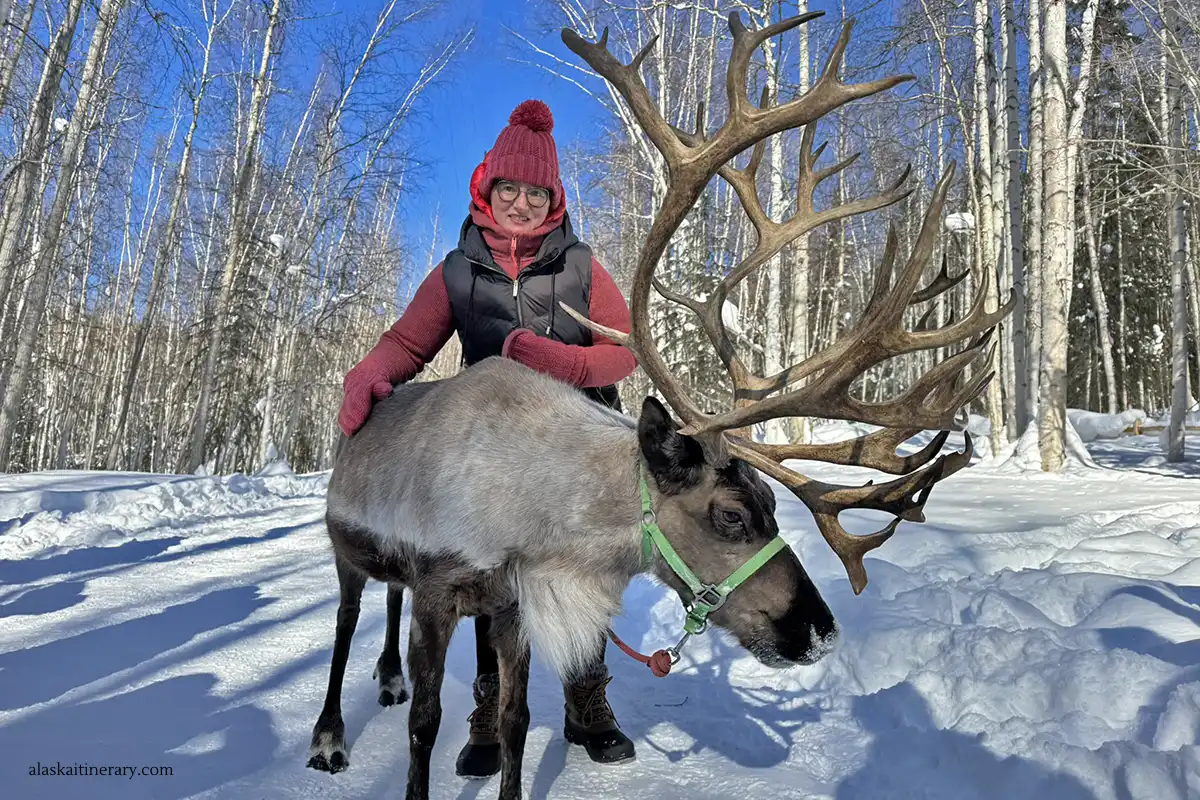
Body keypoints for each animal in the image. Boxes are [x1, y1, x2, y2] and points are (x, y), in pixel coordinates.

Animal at [305, 10, 1013, 800]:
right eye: (731, 516)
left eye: (772, 505)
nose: (820, 632)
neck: (541, 525)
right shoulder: (441, 589)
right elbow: (425, 727)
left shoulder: (511, 604)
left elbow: (518, 722)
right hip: (344, 551)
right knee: (346, 623)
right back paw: (330, 736)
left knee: (384, 605)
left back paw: (387, 677)